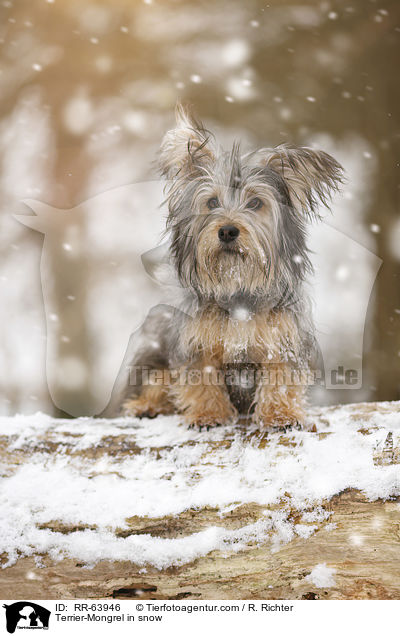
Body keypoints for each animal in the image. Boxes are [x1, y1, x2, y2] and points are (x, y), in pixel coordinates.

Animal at [120, 107, 342, 430]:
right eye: (212, 201)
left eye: (256, 202)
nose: (227, 231)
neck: (237, 287)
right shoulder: (193, 339)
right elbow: (200, 377)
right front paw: (208, 414)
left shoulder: (283, 336)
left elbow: (280, 376)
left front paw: (281, 414)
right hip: (154, 346)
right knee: (155, 379)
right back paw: (147, 405)